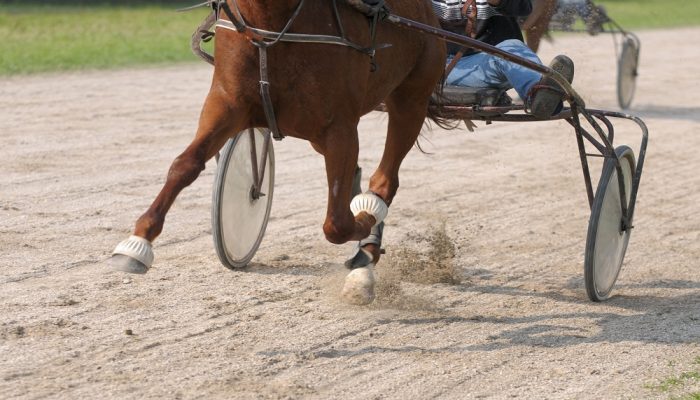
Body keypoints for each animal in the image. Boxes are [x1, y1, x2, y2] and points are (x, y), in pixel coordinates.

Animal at [110, 0, 448, 304]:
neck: (272, 23)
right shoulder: (226, 104)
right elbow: (185, 165)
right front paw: (137, 243)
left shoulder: (340, 127)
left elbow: (337, 223)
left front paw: (363, 221)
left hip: (411, 100)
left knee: (385, 180)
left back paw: (368, 241)